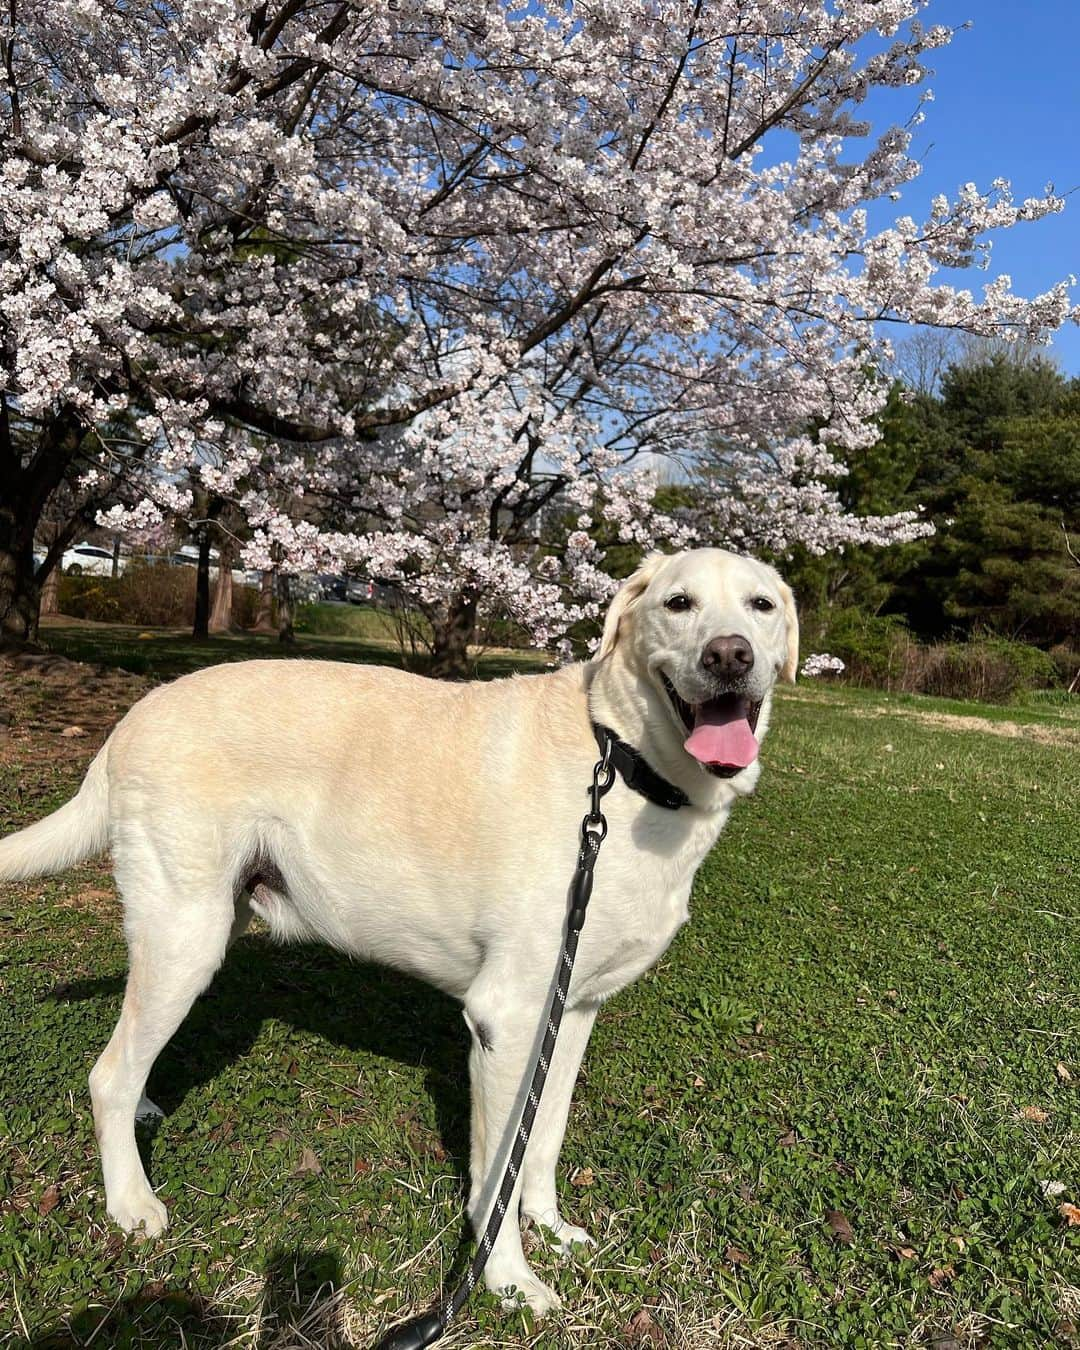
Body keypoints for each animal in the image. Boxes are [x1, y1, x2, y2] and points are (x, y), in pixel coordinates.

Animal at [0, 542, 793, 1312]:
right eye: (678, 603)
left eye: (762, 605)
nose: (730, 655)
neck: (624, 764)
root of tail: (133, 715)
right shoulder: (506, 1020)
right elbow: (497, 1174)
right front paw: (508, 1281)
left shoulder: (573, 1012)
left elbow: (544, 1138)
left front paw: (551, 1227)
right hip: (185, 940)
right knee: (106, 1074)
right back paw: (130, 1201)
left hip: (200, 929)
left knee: (130, 1056)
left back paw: (142, 1114)